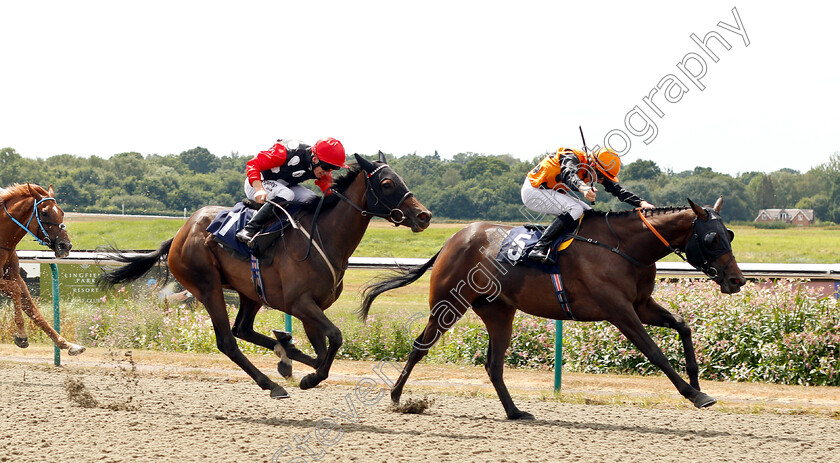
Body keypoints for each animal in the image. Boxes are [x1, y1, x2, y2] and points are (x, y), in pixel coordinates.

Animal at [1, 184, 84, 356]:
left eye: (62, 212)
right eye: (44, 212)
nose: (65, 245)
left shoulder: (16, 276)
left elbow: (32, 308)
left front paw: (67, 344)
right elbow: (15, 289)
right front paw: (22, 336)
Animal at [98, 155, 430, 398]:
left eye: (402, 180)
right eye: (386, 183)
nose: (424, 215)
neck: (323, 236)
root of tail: (180, 234)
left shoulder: (312, 307)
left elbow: (322, 349)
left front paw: (296, 360)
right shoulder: (300, 303)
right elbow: (334, 338)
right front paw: (309, 378)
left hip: (250, 291)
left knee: (243, 329)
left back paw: (283, 357)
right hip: (207, 286)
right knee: (228, 341)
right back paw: (272, 384)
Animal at [360, 198, 740, 420]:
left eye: (730, 234)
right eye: (712, 238)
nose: (736, 279)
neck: (624, 247)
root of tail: (454, 239)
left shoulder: (641, 305)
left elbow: (683, 326)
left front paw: (697, 381)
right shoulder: (619, 311)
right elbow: (654, 352)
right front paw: (694, 394)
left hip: (498, 311)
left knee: (493, 364)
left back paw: (514, 412)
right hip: (449, 303)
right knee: (419, 347)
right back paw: (397, 398)